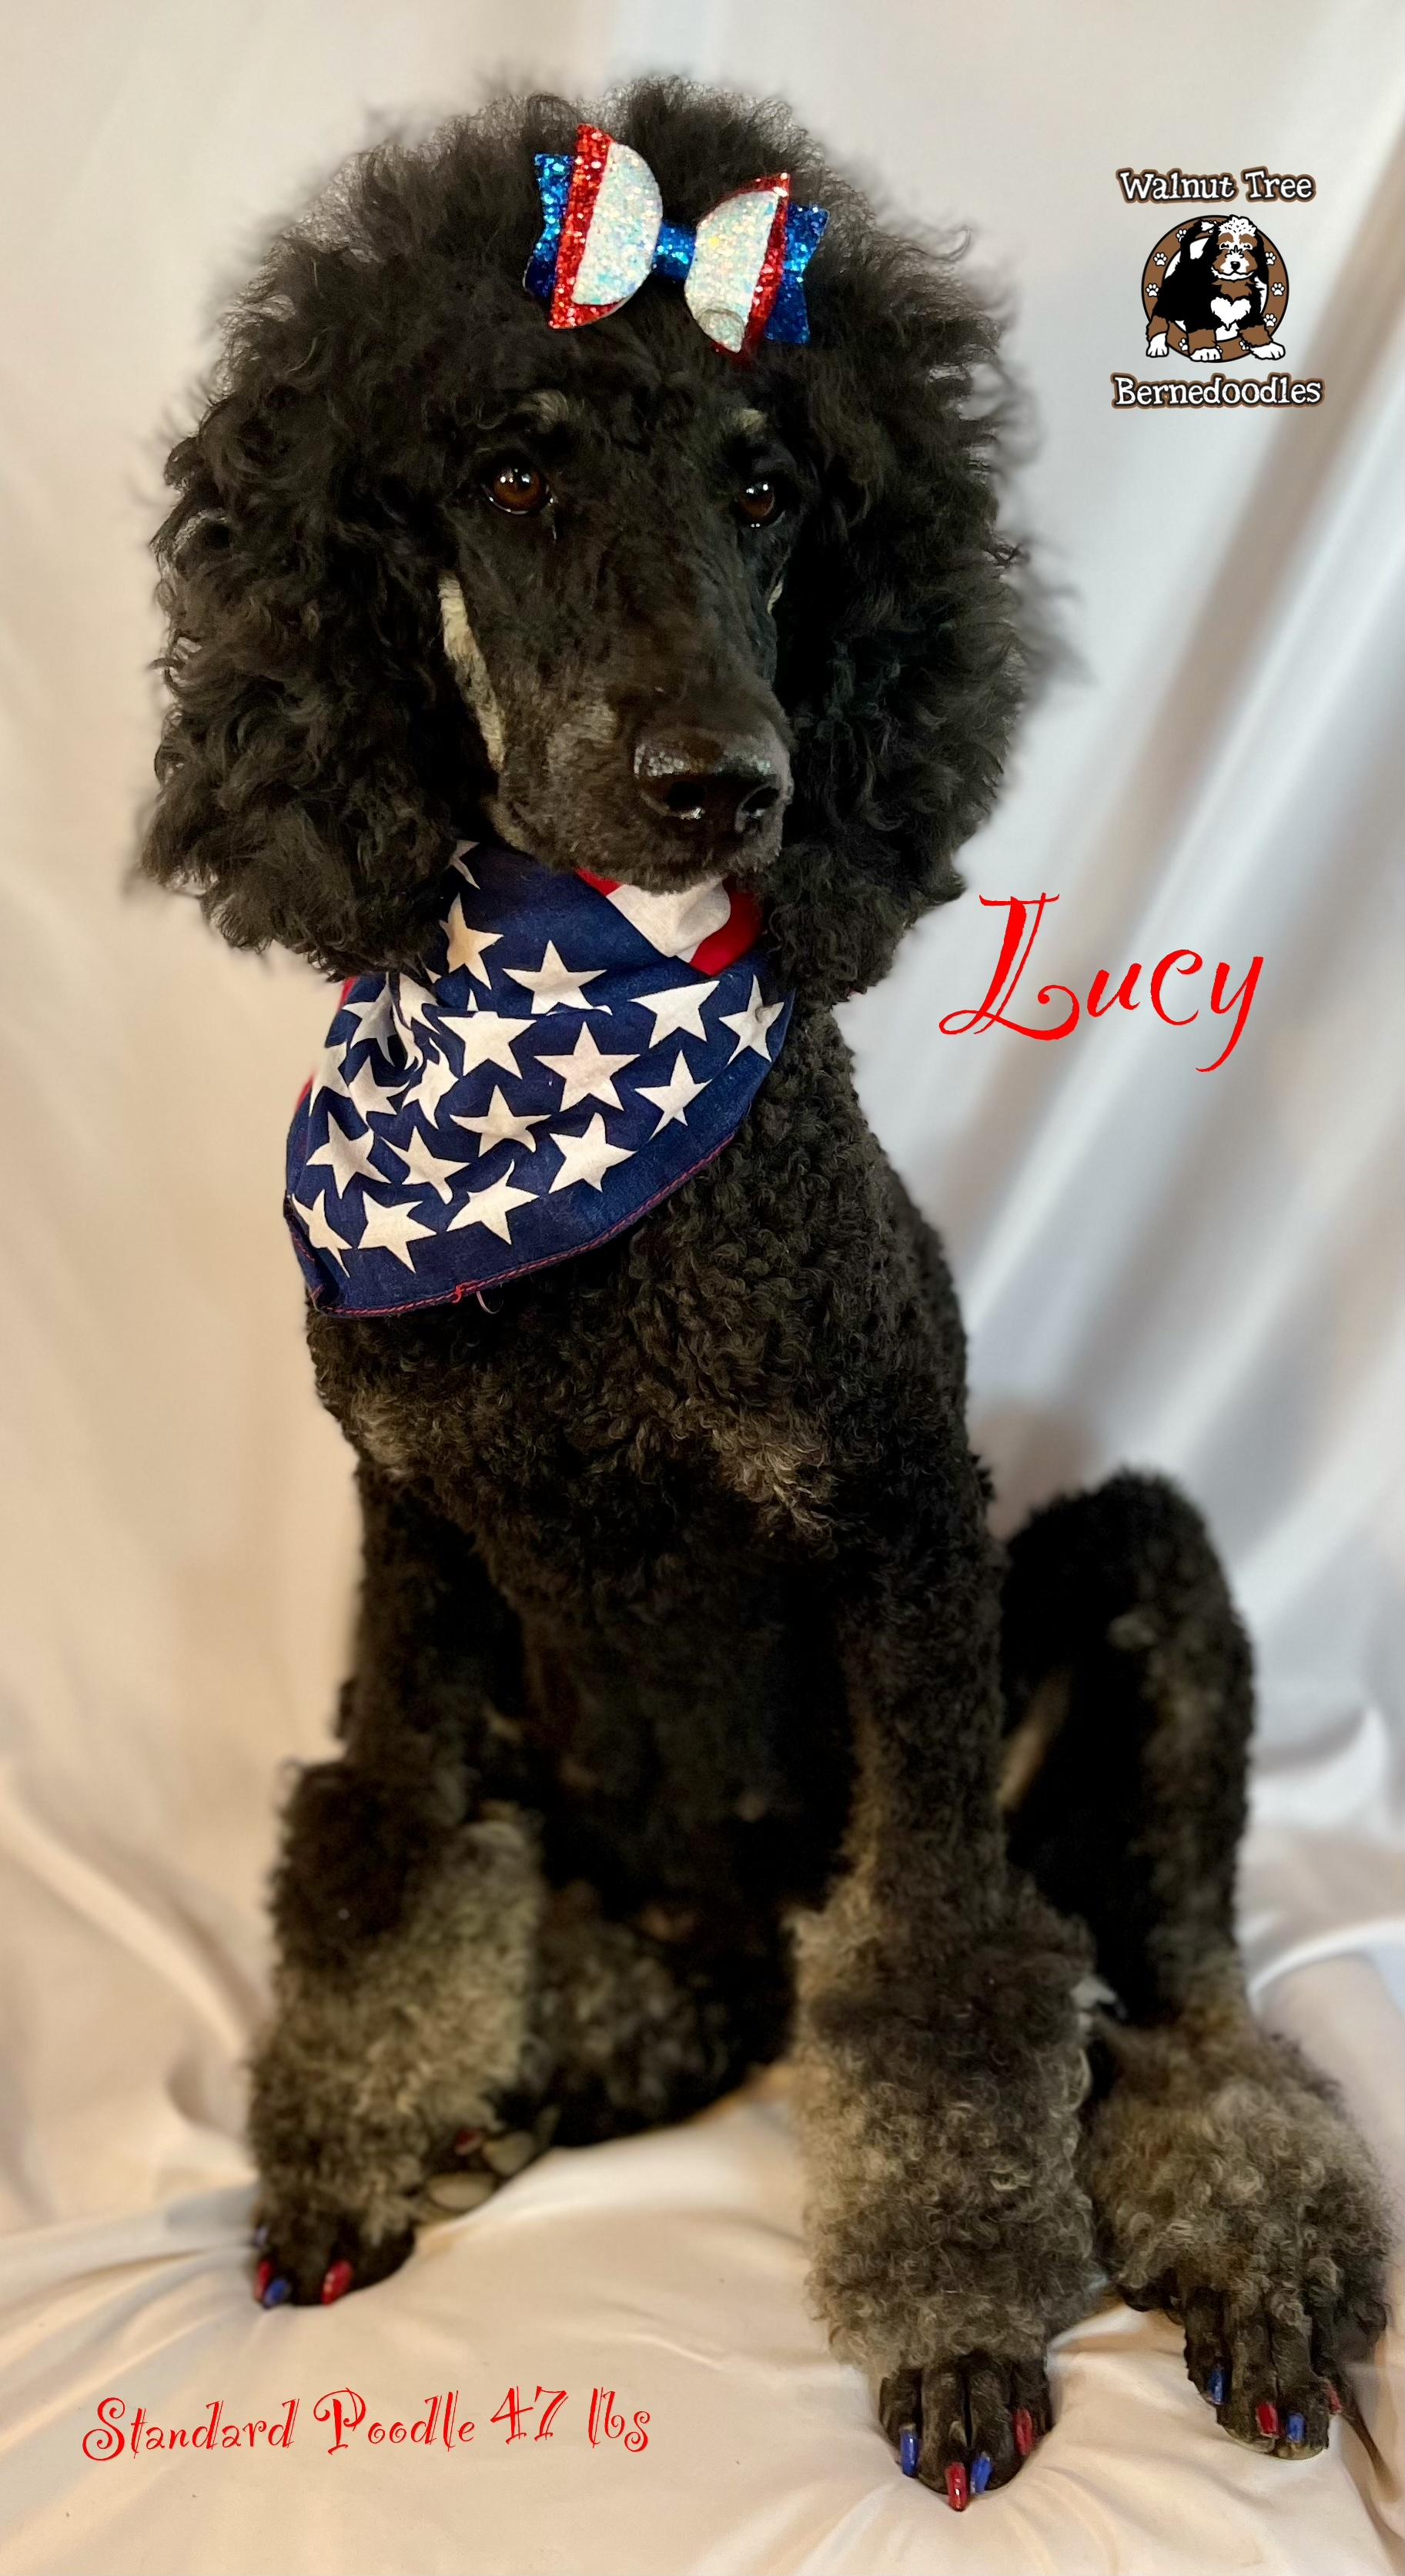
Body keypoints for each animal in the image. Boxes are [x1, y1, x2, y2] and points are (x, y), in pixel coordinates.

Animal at [1146, 213, 1285, 360]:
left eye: (1247, 246)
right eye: (1224, 245)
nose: (1235, 263)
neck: (1232, 285)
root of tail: (1185, 262)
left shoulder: (1250, 309)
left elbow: (1255, 328)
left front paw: (1267, 347)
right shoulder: (1201, 310)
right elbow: (1202, 328)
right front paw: (1205, 350)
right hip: (1173, 301)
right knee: (1159, 316)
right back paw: (1157, 345)